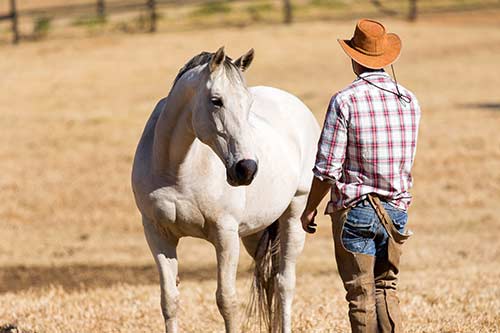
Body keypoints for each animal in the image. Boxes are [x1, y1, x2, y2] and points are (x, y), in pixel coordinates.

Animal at [132, 45, 320, 330]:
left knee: (284, 284)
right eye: (216, 101)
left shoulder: (225, 235)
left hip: (294, 216)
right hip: (256, 233)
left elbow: (227, 301)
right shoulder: (157, 234)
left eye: (249, 103)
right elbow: (169, 300)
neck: (176, 171)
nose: (247, 168)